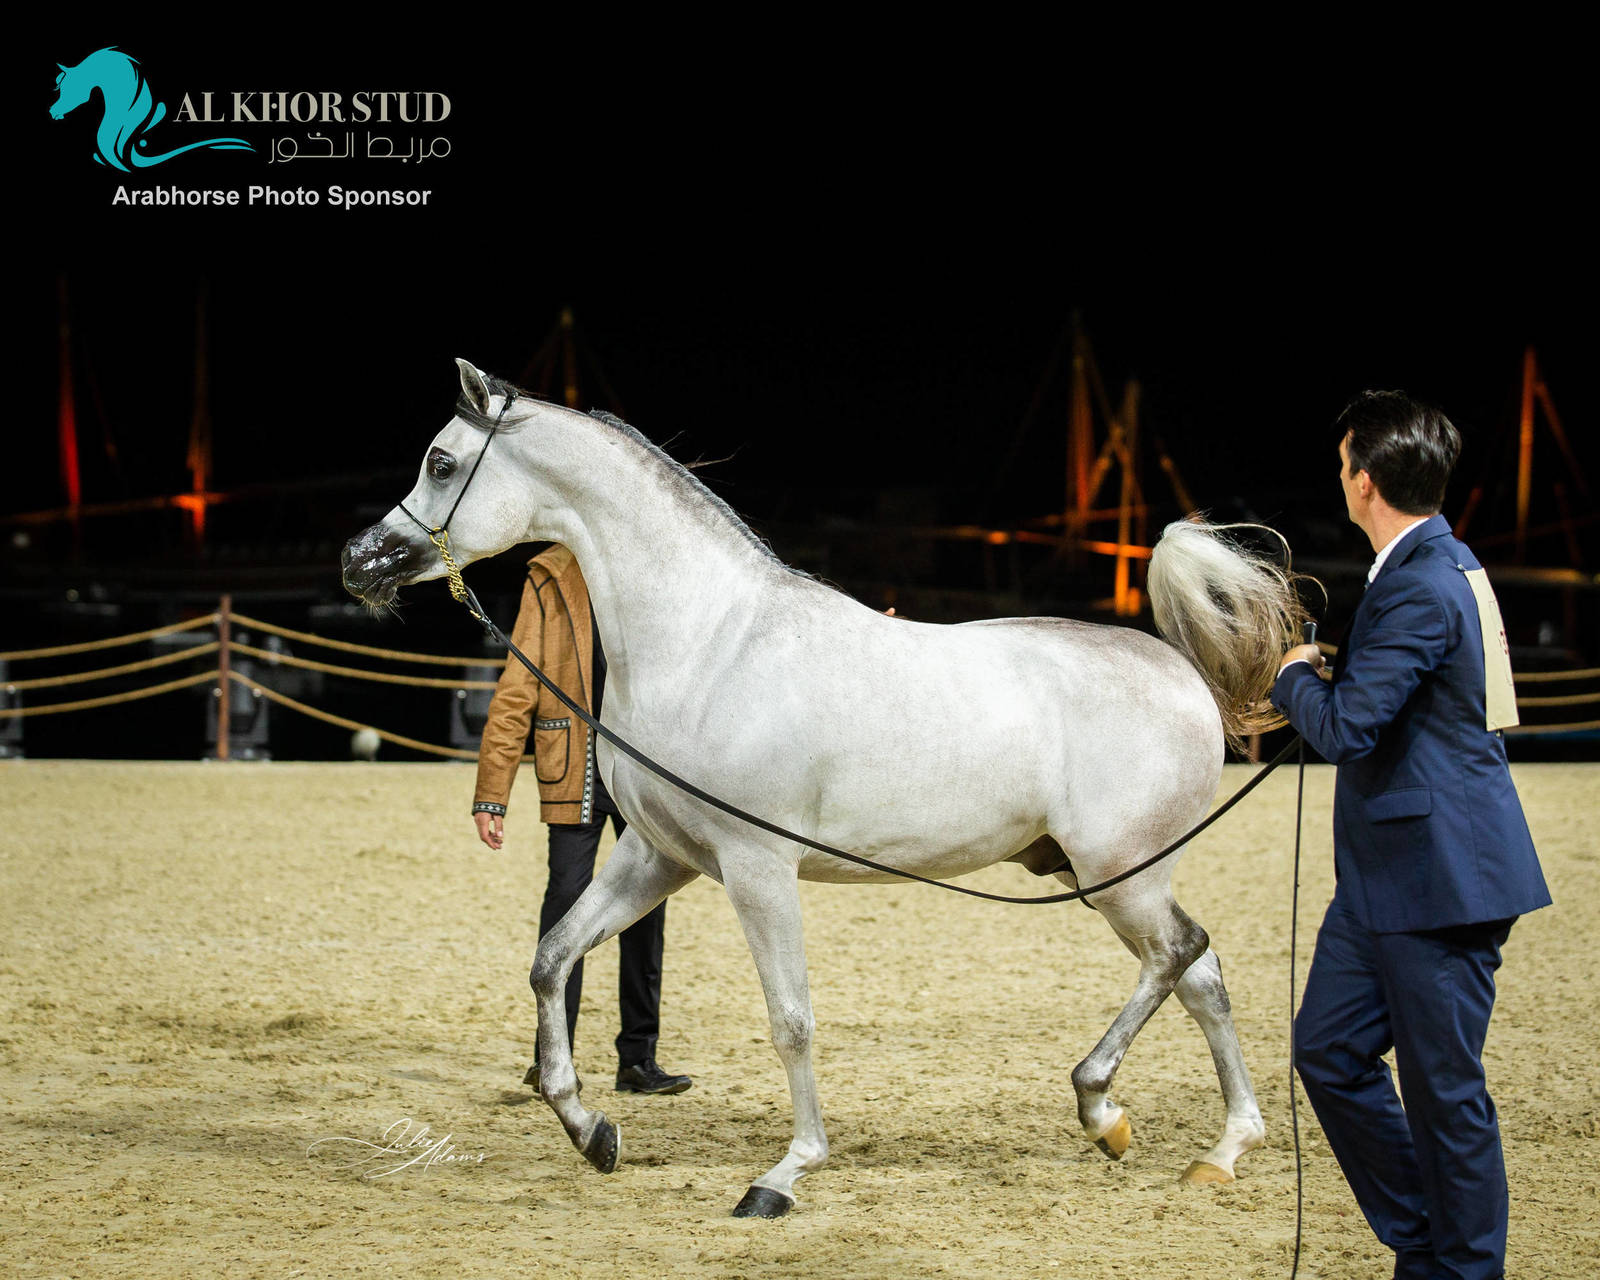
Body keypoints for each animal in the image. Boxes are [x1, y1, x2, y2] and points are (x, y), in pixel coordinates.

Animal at [342, 359, 1306, 1217]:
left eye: (441, 462)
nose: (359, 561)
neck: (710, 643)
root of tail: (1182, 671)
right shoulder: (657, 857)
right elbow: (551, 958)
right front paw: (592, 1132)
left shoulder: (757, 868)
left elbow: (791, 1019)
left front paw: (784, 1174)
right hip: (1099, 874)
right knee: (1202, 975)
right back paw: (1220, 1149)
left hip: (1120, 875)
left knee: (1179, 955)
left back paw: (1102, 1105)